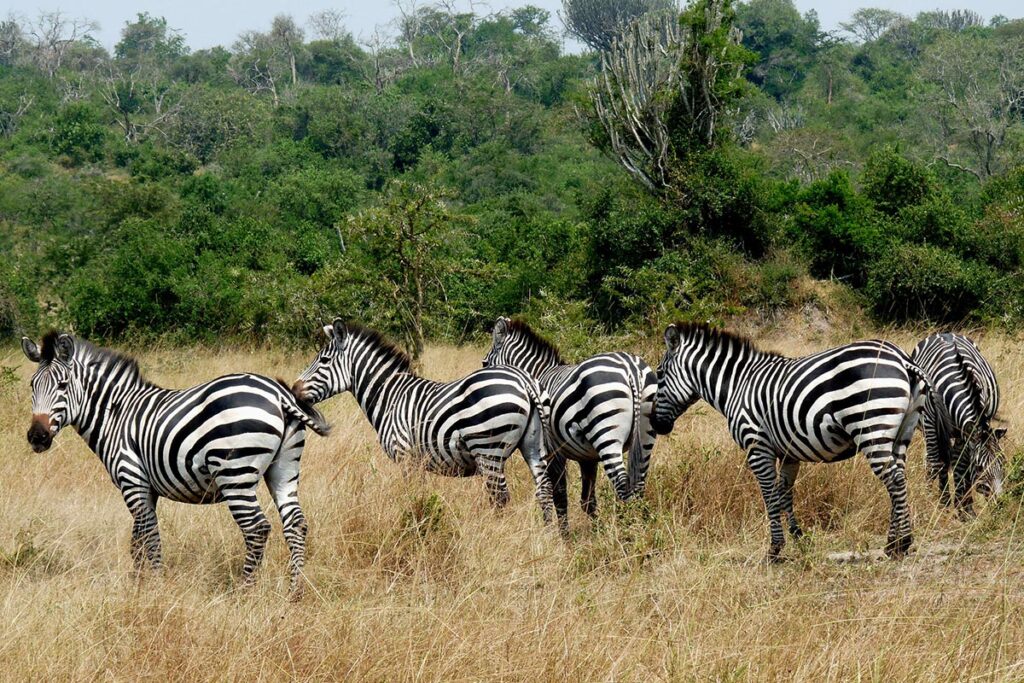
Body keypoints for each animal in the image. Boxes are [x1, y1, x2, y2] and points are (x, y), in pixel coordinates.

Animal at [21, 331, 330, 599]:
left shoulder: (131, 479)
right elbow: (137, 540)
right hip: (284, 469)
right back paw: (294, 591)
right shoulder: (147, 488)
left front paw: (155, 585)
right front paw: (138, 583)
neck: (116, 415)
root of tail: (279, 393)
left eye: (62, 386)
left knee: (257, 528)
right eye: (32, 386)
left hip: (235, 474)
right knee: (296, 524)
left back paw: (244, 591)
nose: (37, 437)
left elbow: (149, 536)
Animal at [292, 319, 556, 521]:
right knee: (544, 492)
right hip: (533, 446)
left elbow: (413, 499)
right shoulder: (418, 462)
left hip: (488, 449)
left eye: (324, 360)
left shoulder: (405, 457)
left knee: (500, 497)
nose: (294, 390)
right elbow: (421, 496)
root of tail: (523, 380)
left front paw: (416, 528)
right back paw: (550, 537)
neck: (390, 396)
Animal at [483, 317, 658, 531]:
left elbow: (559, 495)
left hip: (607, 435)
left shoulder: (553, 453)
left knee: (623, 487)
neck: (539, 374)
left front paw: (563, 534)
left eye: (485, 363)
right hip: (645, 436)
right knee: (639, 486)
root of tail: (630, 368)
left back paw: (627, 531)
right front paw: (595, 532)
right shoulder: (588, 458)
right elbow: (587, 500)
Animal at [650, 322, 929, 561]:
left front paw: (775, 548)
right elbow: (785, 493)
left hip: (872, 426)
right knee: (899, 477)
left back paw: (901, 543)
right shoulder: (788, 453)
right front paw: (799, 538)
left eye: (660, 374)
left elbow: (769, 495)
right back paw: (894, 542)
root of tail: (902, 358)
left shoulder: (757, 446)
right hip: (901, 432)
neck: (737, 386)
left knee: (893, 479)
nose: (655, 425)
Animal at [911, 332, 1006, 515]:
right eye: (980, 467)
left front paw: (964, 507)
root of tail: (945, 332)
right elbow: (935, 464)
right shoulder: (931, 423)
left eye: (1003, 463)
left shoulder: (965, 430)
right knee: (935, 460)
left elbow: (961, 465)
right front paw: (935, 503)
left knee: (953, 459)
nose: (1000, 503)